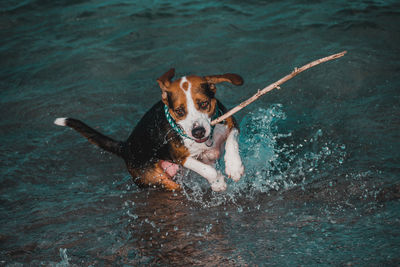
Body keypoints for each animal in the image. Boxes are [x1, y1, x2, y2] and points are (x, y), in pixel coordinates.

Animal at [54, 68, 244, 192]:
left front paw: (234, 166)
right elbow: (207, 170)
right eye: (179, 111)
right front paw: (218, 182)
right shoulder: (180, 157)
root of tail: (126, 146)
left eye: (204, 104)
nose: (198, 132)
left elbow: (231, 141)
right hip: (159, 179)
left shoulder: (231, 122)